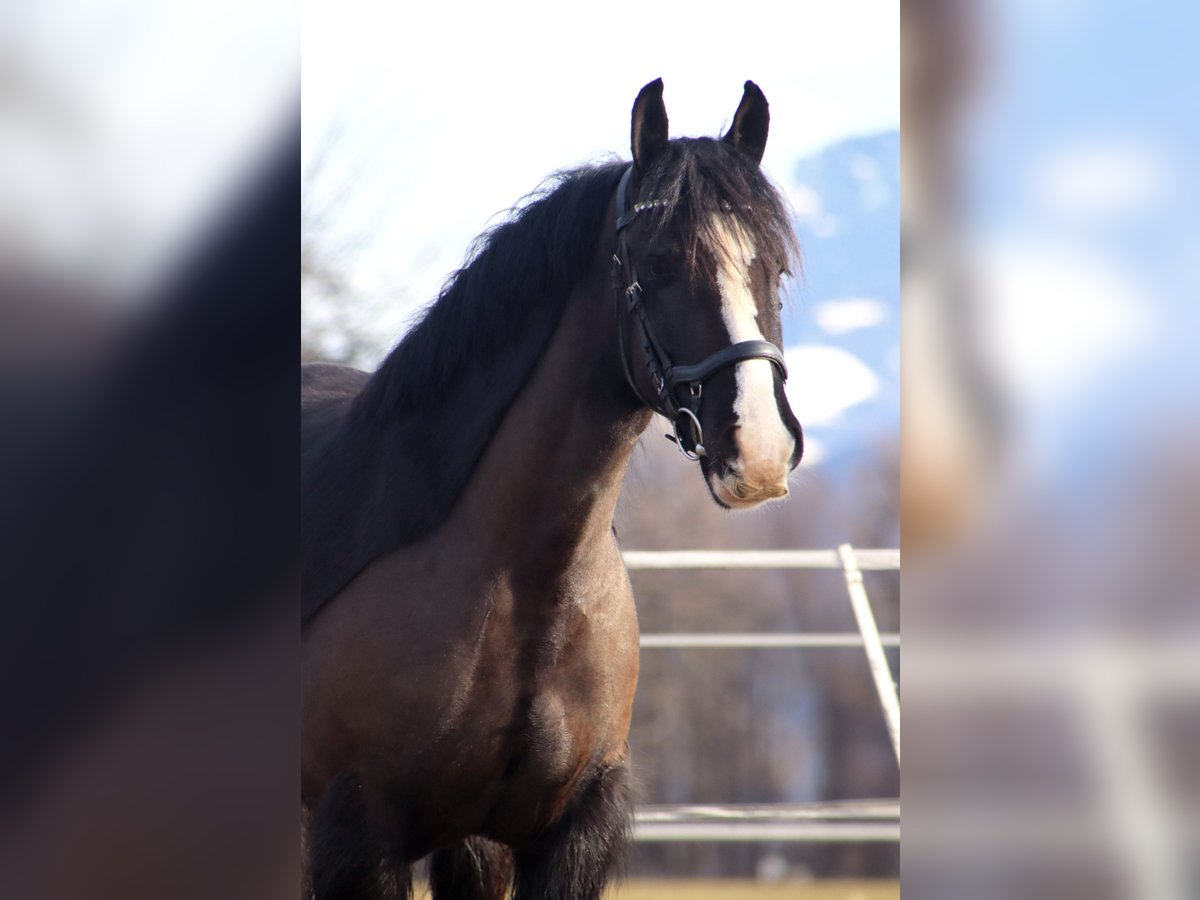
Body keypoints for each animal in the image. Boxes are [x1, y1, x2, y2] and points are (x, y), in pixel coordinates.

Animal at [304, 79, 801, 900]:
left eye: (778, 269)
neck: (524, 583)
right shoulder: (357, 836)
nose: (760, 451)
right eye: (659, 263)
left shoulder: (543, 838)